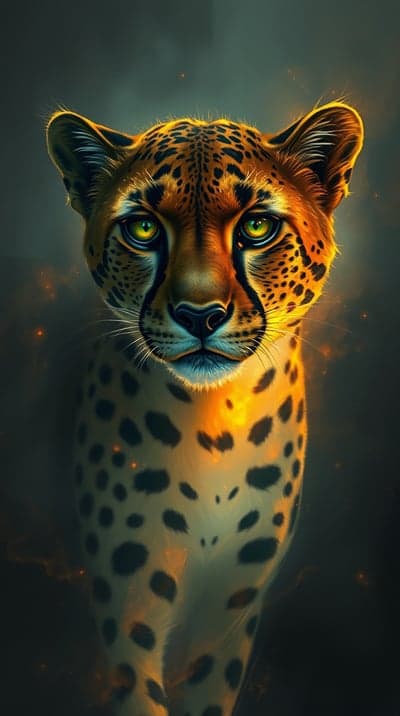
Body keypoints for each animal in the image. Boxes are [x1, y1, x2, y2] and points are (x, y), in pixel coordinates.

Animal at [46, 100, 363, 716]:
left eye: (257, 227)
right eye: (144, 228)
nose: (200, 314)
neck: (218, 421)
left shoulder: (233, 605)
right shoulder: (126, 589)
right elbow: (138, 689)